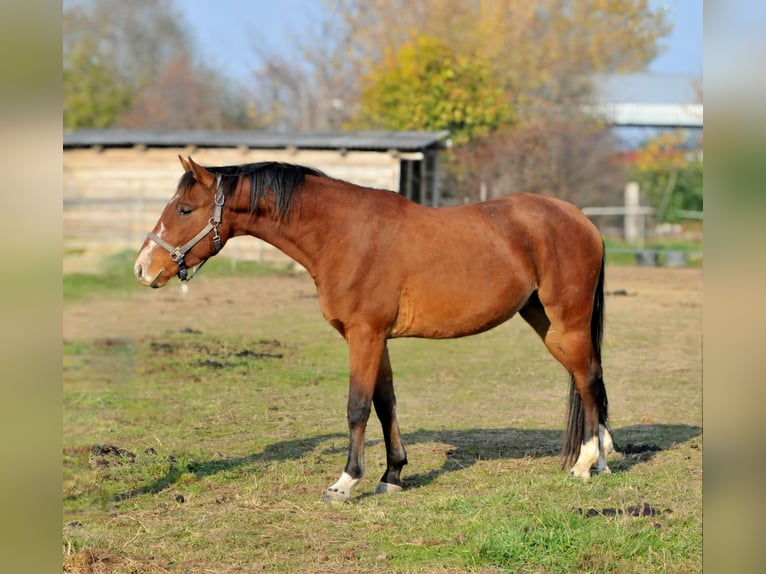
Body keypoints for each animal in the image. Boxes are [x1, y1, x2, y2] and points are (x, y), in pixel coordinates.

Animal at [135, 158, 616, 504]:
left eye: (184, 210)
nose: (143, 268)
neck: (343, 234)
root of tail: (583, 221)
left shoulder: (363, 335)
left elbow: (357, 407)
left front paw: (346, 482)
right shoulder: (377, 339)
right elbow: (385, 404)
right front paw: (393, 475)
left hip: (567, 320)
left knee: (589, 378)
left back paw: (586, 462)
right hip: (545, 322)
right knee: (586, 377)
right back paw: (603, 456)